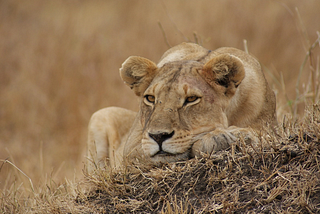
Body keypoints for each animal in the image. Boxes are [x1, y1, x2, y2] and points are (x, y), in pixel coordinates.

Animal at [86, 42, 276, 171]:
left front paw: (235, 135)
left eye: (191, 99)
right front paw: (221, 137)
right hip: (100, 115)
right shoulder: (131, 149)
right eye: (150, 98)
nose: (158, 136)